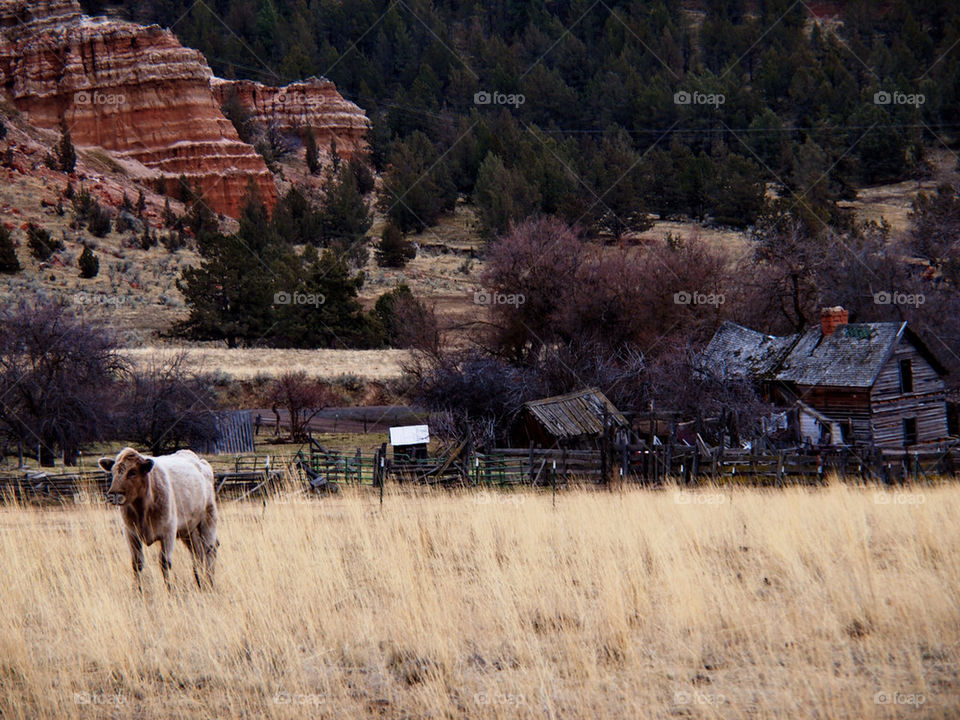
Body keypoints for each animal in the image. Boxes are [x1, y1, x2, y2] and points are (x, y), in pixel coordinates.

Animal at [101, 444, 221, 592]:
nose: (113, 494)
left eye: (132, 472)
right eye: (112, 472)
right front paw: (139, 592)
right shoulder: (130, 534)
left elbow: (164, 563)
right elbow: (137, 564)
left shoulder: (168, 533)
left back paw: (210, 582)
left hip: (208, 518)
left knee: (210, 549)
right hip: (189, 530)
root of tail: (200, 462)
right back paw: (199, 583)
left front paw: (170, 591)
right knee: (197, 553)